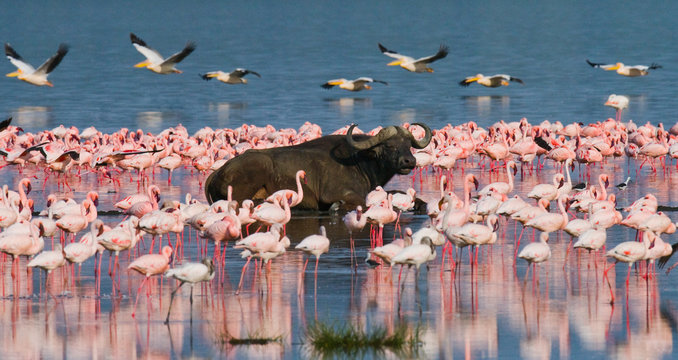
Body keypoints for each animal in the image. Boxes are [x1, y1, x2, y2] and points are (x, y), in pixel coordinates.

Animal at [205, 123, 432, 211]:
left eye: (408, 145)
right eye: (389, 146)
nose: (409, 162)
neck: (360, 161)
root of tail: (218, 172)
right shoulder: (337, 193)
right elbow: (362, 202)